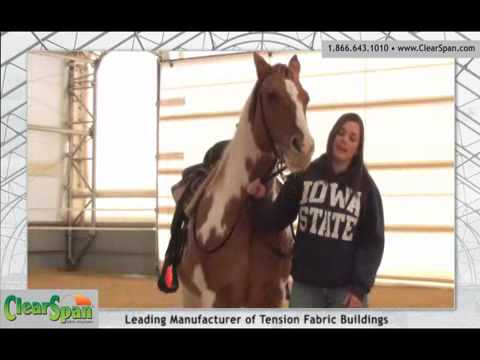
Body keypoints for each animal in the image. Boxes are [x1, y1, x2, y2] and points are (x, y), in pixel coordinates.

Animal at [176, 52, 316, 306]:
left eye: (305, 97)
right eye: (271, 95)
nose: (304, 148)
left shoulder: (274, 296)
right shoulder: (216, 298)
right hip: (190, 296)